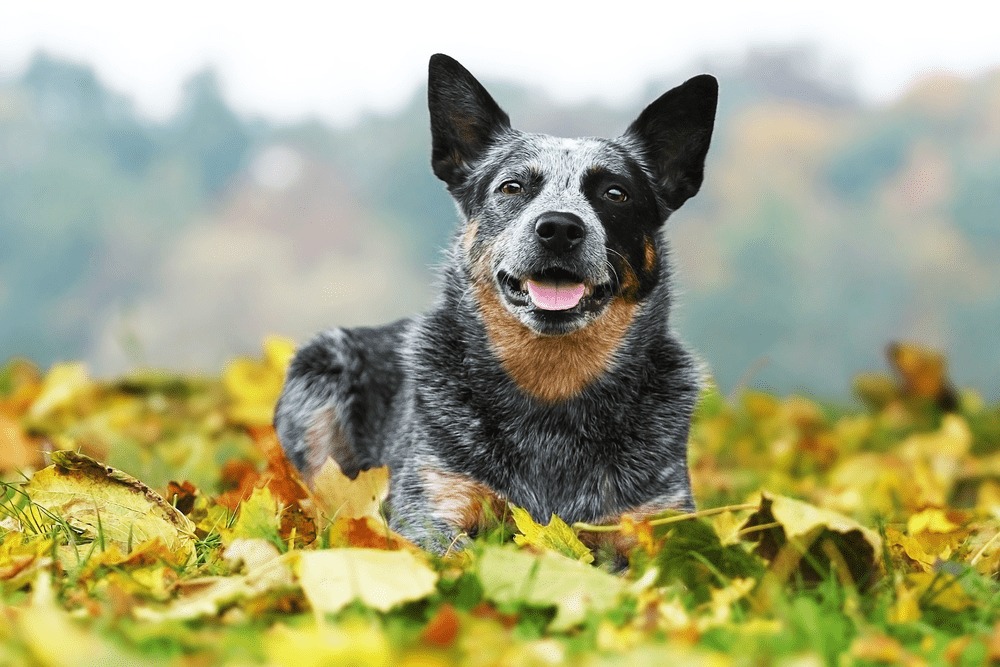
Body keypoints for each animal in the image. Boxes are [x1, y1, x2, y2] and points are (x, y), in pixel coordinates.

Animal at [274, 52, 716, 556]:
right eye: (512, 186)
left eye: (615, 193)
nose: (559, 227)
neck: (552, 390)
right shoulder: (432, 509)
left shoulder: (658, 521)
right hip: (320, 372)